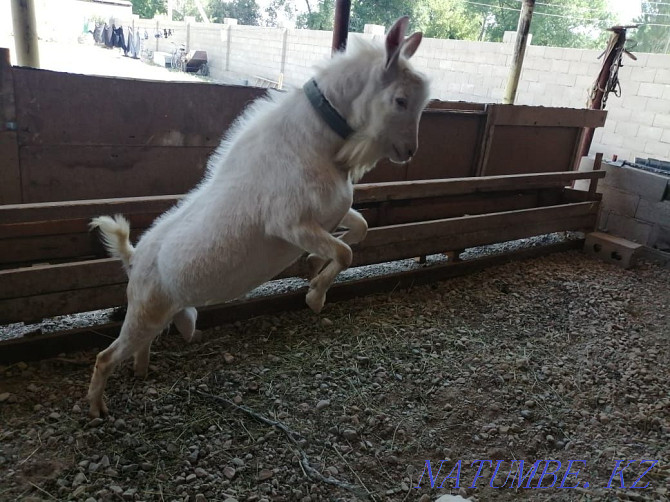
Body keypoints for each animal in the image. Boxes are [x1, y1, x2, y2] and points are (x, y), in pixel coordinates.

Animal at [86, 15, 430, 418]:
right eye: (401, 100)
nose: (409, 151)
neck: (317, 145)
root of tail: (133, 257)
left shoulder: (331, 214)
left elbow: (359, 231)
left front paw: (314, 265)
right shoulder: (289, 224)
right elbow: (345, 253)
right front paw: (315, 295)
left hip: (161, 315)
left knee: (140, 346)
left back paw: (141, 372)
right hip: (143, 311)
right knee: (105, 357)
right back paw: (97, 408)